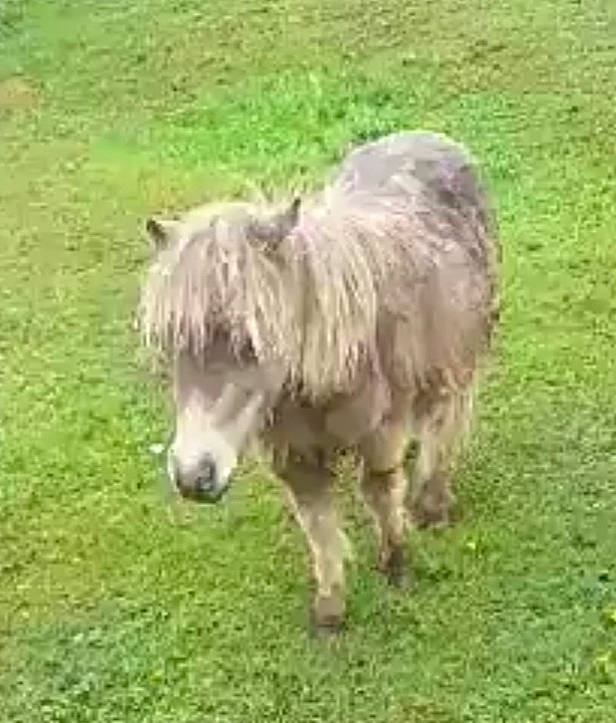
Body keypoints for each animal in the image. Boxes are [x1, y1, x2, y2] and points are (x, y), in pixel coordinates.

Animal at [139, 131, 499, 632]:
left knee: (443, 424)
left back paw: (433, 503)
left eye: (251, 343)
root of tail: (432, 137)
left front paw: (397, 564)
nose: (194, 478)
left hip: (456, 359)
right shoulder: (293, 455)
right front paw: (330, 608)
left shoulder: (380, 432)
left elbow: (380, 492)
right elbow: (317, 523)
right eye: (170, 344)